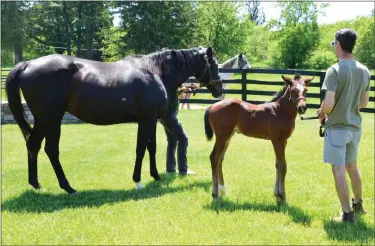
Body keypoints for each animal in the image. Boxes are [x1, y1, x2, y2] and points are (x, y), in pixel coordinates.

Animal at [5, 45, 223, 192]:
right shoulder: (146, 120)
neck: (154, 71)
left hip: (43, 120)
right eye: (213, 63)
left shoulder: (150, 120)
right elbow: (141, 149)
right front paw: (138, 180)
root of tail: (29, 64)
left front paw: (155, 176)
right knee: (50, 149)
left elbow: (151, 147)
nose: (219, 90)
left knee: (33, 145)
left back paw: (36, 184)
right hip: (51, 119)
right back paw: (68, 187)